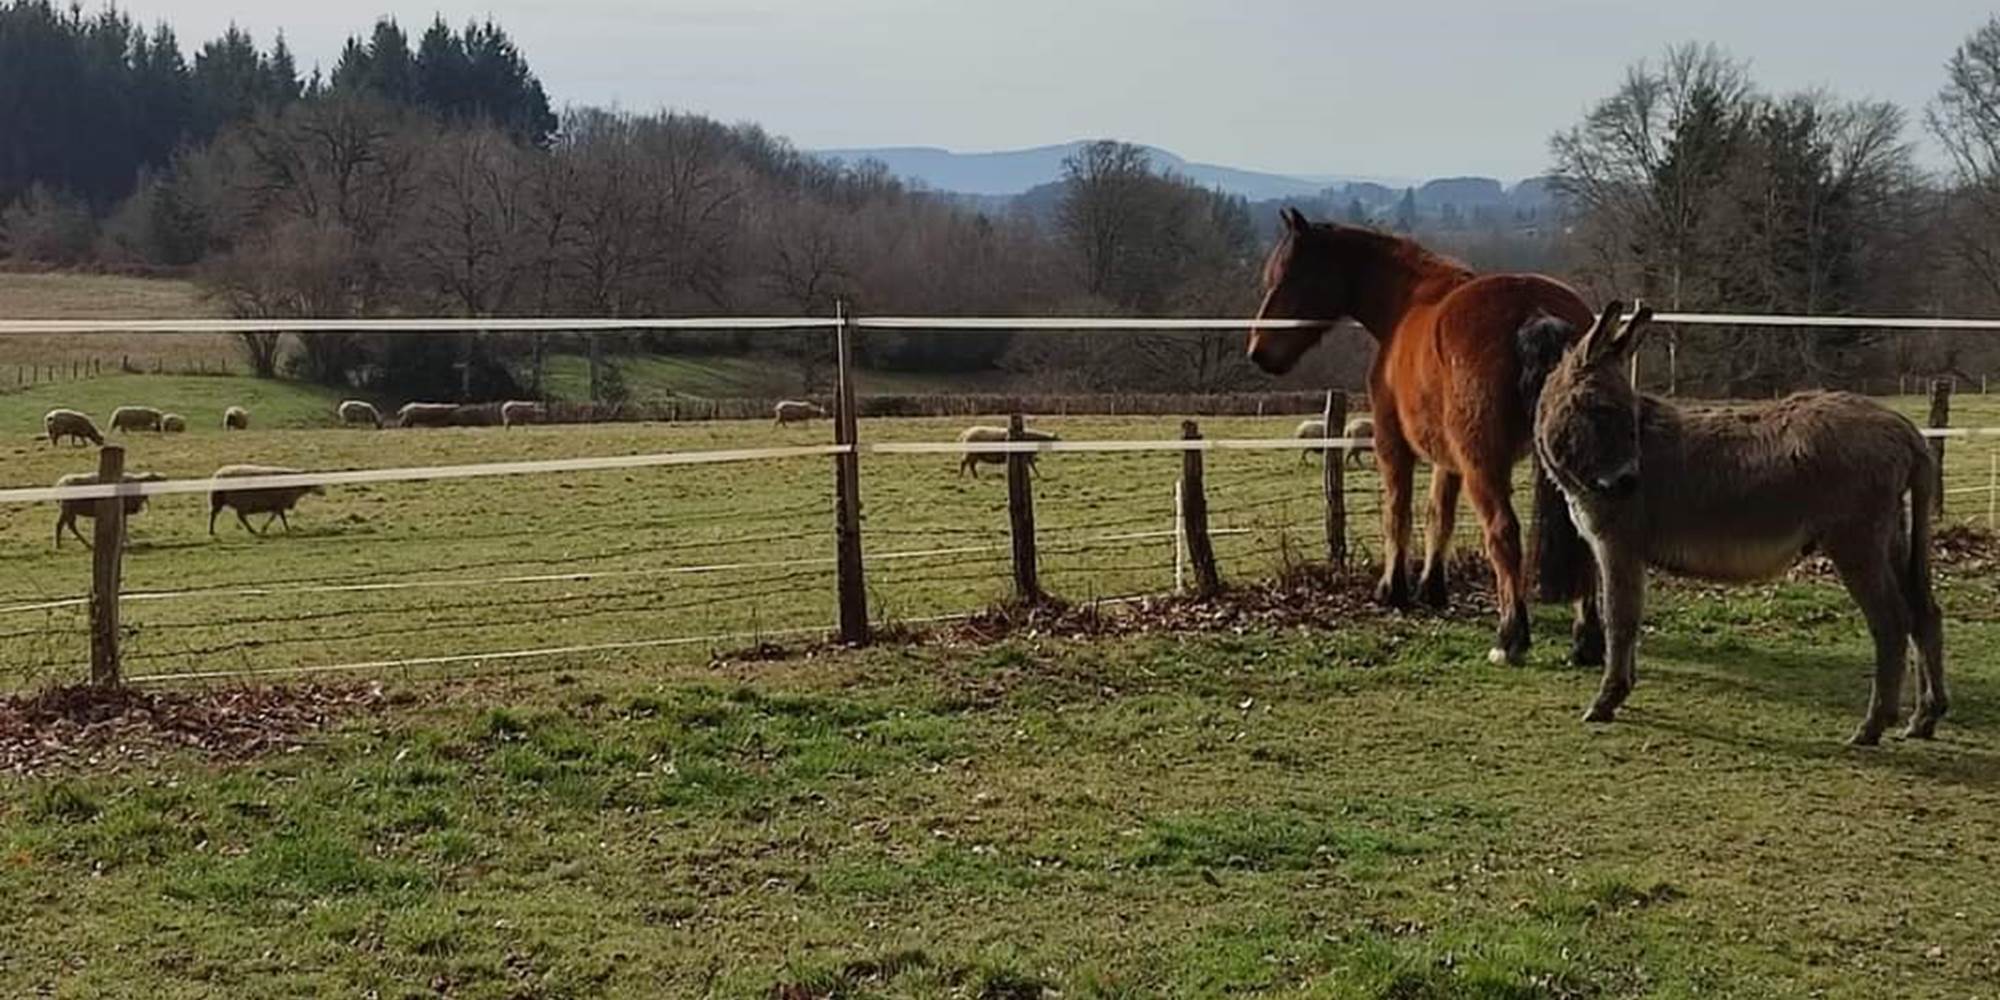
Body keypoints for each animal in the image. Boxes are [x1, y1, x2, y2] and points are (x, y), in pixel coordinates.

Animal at [1247, 209, 1599, 666]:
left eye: (1289, 276)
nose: (1257, 351)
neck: (1407, 302)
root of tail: (1535, 310)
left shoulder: (1392, 445)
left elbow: (1397, 511)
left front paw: (1392, 590)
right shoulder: (1448, 458)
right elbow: (1438, 515)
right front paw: (1431, 587)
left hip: (1484, 467)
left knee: (1503, 533)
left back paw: (1510, 637)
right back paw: (1587, 640)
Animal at [1533, 302, 1945, 746]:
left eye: (1627, 414)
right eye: (1600, 409)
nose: (1628, 482)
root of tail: (1906, 431)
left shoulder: (1618, 546)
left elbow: (1619, 621)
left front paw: (1606, 701)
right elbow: (1629, 617)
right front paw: (1620, 691)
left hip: (1856, 542)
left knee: (1892, 622)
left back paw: (1872, 726)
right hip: (1892, 535)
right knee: (1924, 612)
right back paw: (1924, 718)